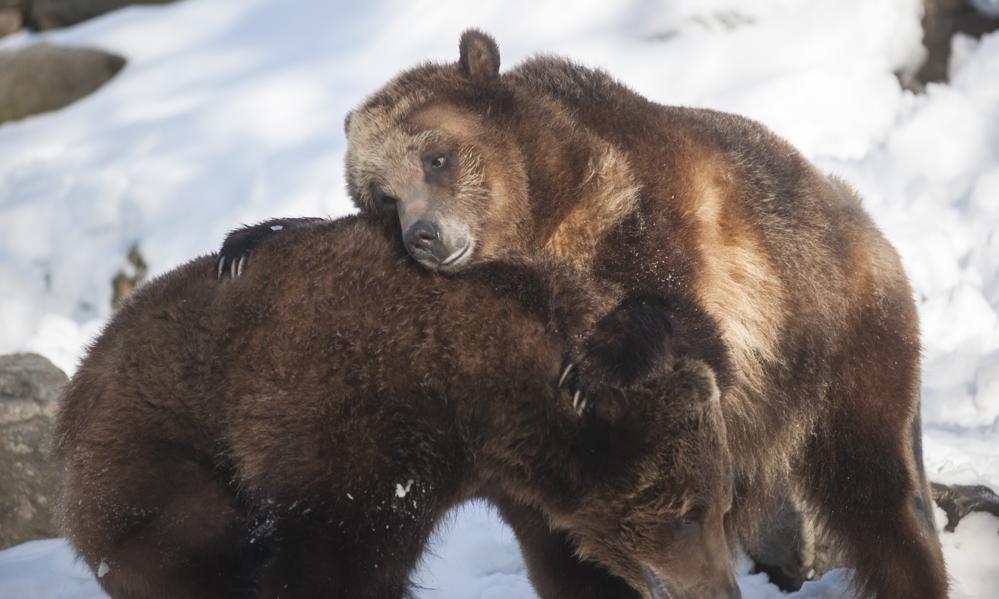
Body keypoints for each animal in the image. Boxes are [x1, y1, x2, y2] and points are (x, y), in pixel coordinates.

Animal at [56, 216, 741, 599]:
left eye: (719, 506)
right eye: (687, 512)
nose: (724, 591)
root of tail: (81, 372)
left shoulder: (525, 484)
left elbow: (572, 567)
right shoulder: (360, 442)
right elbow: (331, 567)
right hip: (158, 454)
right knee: (192, 548)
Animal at [218, 30, 948, 597]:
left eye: (437, 156)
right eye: (381, 194)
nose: (421, 235)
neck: (543, 218)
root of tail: (860, 217)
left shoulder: (659, 228)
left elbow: (686, 330)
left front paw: (596, 360)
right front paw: (253, 237)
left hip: (838, 340)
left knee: (882, 494)